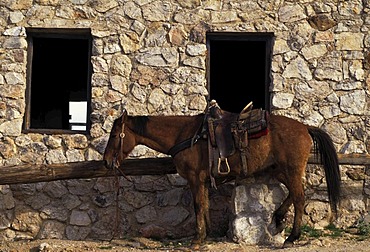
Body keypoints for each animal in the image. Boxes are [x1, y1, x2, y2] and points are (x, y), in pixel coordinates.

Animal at [104, 106, 342, 248]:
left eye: (115, 135)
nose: (106, 161)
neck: (185, 135)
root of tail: (305, 128)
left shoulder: (194, 178)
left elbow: (198, 205)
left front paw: (197, 239)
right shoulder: (203, 180)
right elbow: (205, 205)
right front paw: (207, 235)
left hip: (291, 170)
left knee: (300, 198)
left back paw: (292, 237)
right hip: (280, 170)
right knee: (296, 194)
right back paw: (278, 217)